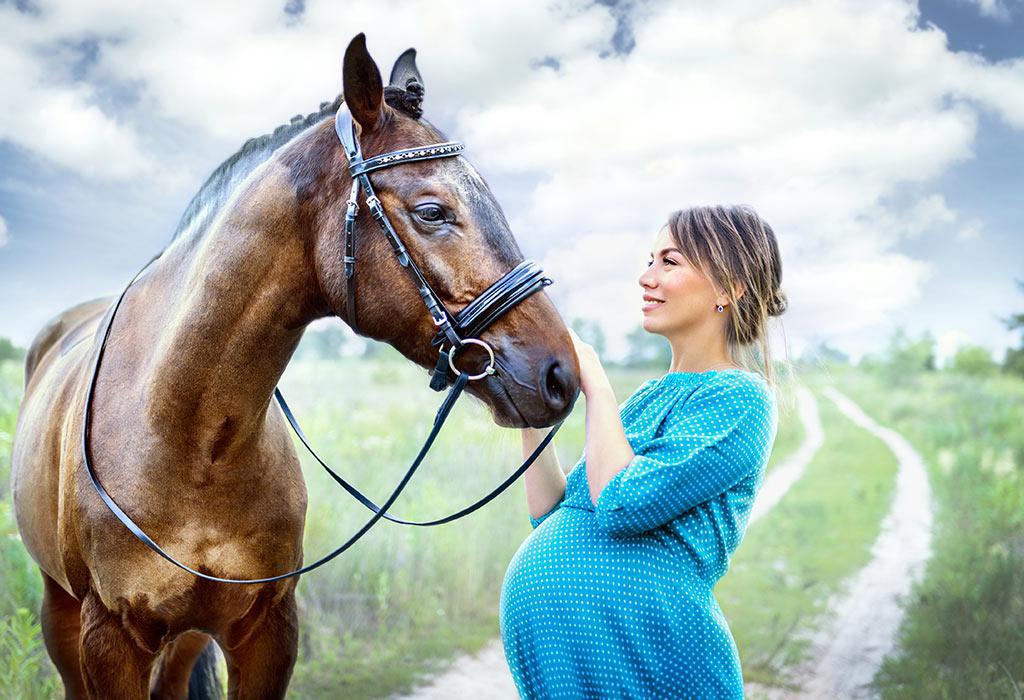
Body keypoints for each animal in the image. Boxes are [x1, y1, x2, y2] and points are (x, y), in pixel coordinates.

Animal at [9, 36, 577, 700]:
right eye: (433, 211)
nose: (560, 374)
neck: (191, 440)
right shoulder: (109, 639)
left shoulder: (267, 629)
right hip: (60, 609)